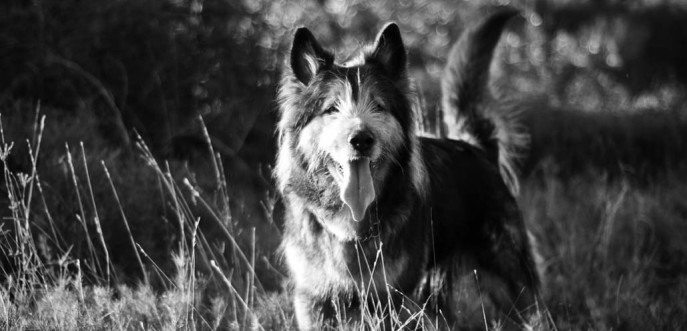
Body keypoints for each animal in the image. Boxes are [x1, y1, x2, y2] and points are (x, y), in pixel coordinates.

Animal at [274, 9, 544, 330]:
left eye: (378, 106)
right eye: (331, 109)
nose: (361, 140)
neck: (351, 221)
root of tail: (477, 148)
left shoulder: (391, 300)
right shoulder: (313, 301)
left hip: (512, 281)